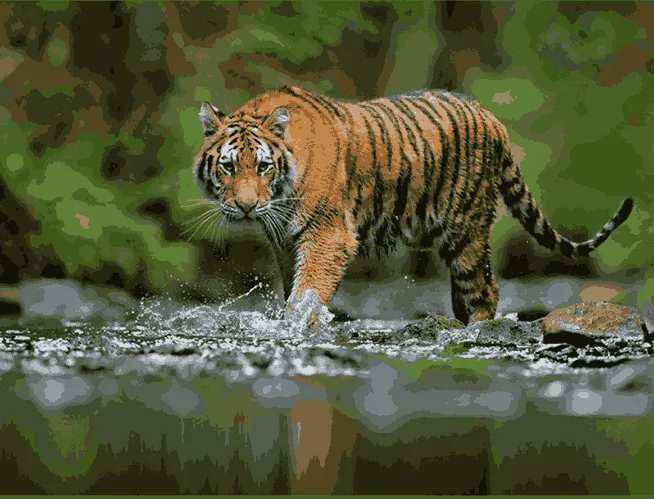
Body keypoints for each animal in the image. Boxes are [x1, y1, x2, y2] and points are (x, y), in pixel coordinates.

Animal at [192, 86, 633, 329]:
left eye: (263, 166)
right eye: (228, 167)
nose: (247, 206)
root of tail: (491, 117)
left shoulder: (328, 233)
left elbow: (309, 289)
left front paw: (299, 324)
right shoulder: (285, 241)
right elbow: (294, 286)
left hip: (467, 233)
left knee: (485, 292)